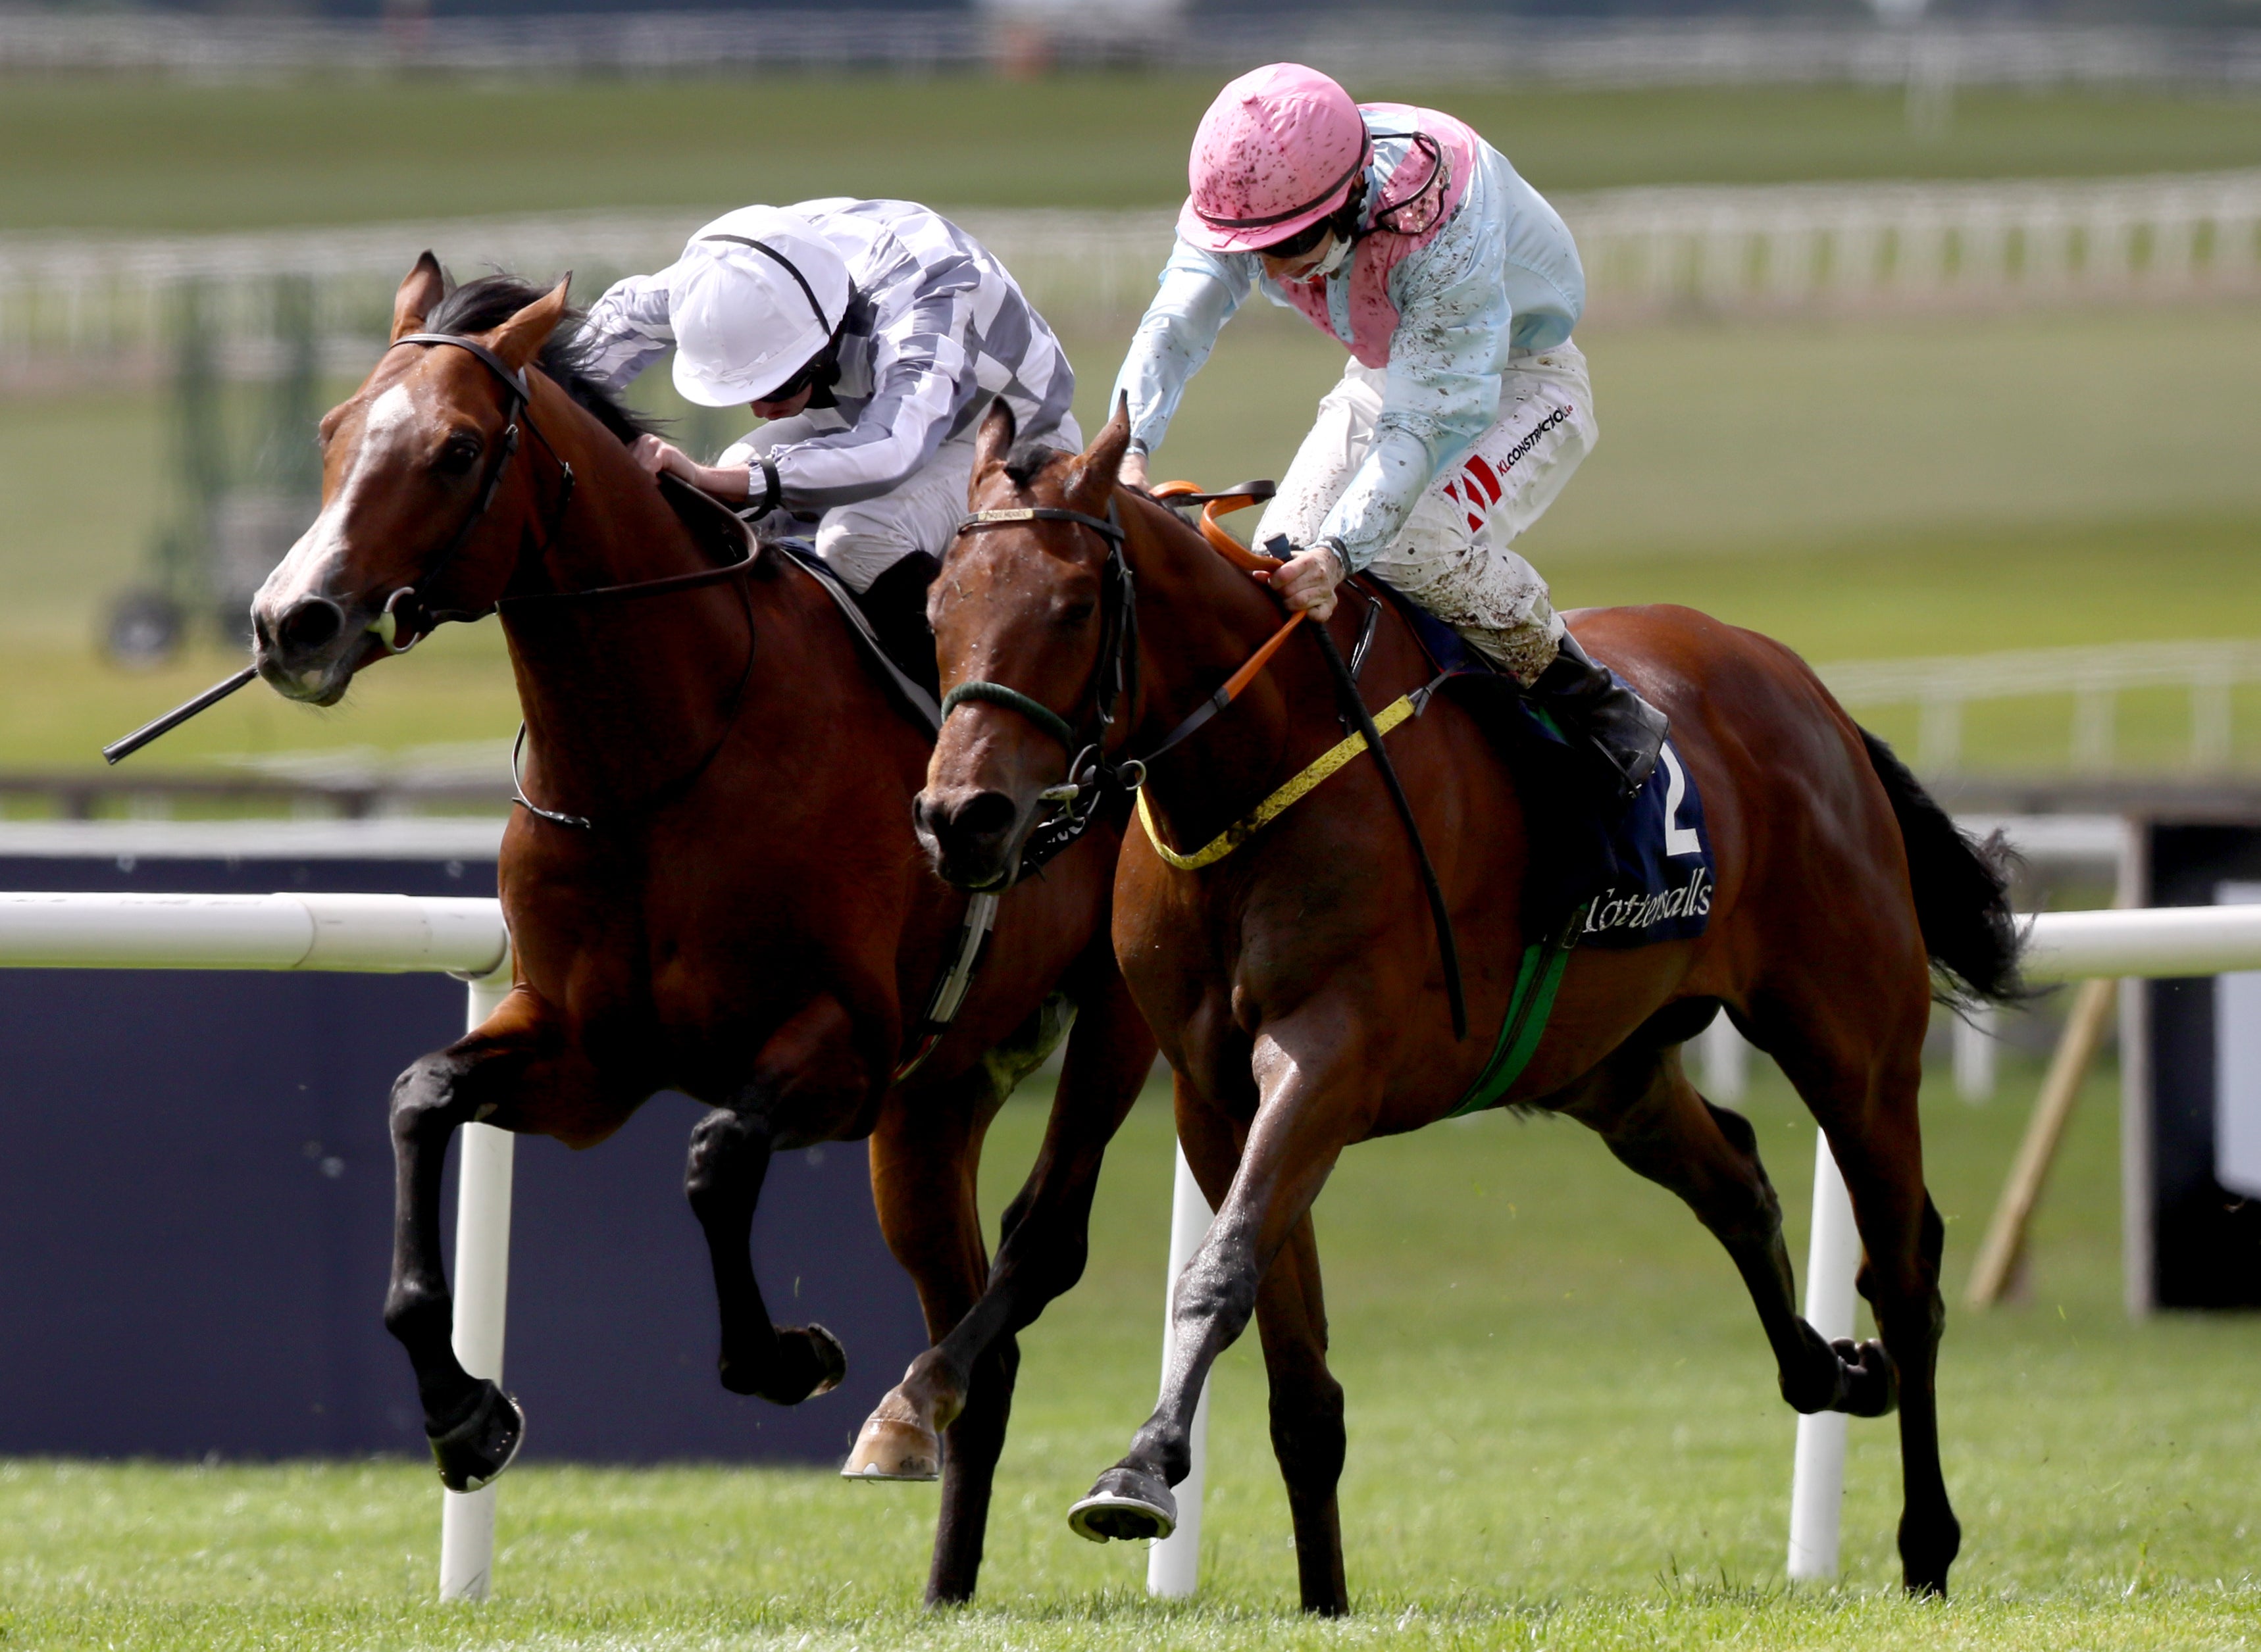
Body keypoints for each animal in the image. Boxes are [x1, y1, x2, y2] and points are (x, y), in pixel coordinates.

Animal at [254, 264, 1157, 1609]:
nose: (292, 622)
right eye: (330, 431)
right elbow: (420, 1098)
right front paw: (464, 1415)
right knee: (975, 1350)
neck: (663, 756)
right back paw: (936, 1543)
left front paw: (786, 1355)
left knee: (1041, 1245)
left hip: (1113, 1026)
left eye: (456, 449)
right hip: (931, 1106)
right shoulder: (587, 1056)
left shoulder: (840, 1050)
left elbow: (716, 1154)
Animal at [918, 399, 2035, 1618]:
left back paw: (1925, 1538)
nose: (962, 817)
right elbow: (1290, 1362)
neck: (1258, 768)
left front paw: (1139, 1468)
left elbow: (1217, 1274)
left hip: (1852, 1038)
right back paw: (1832, 1366)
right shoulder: (1214, 1096)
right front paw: (1321, 1596)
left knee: (1906, 1271)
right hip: (1607, 1067)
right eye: (937, 603)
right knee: (1738, 1181)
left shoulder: (1326, 1058)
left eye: (1073, 605)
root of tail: (1810, 691)